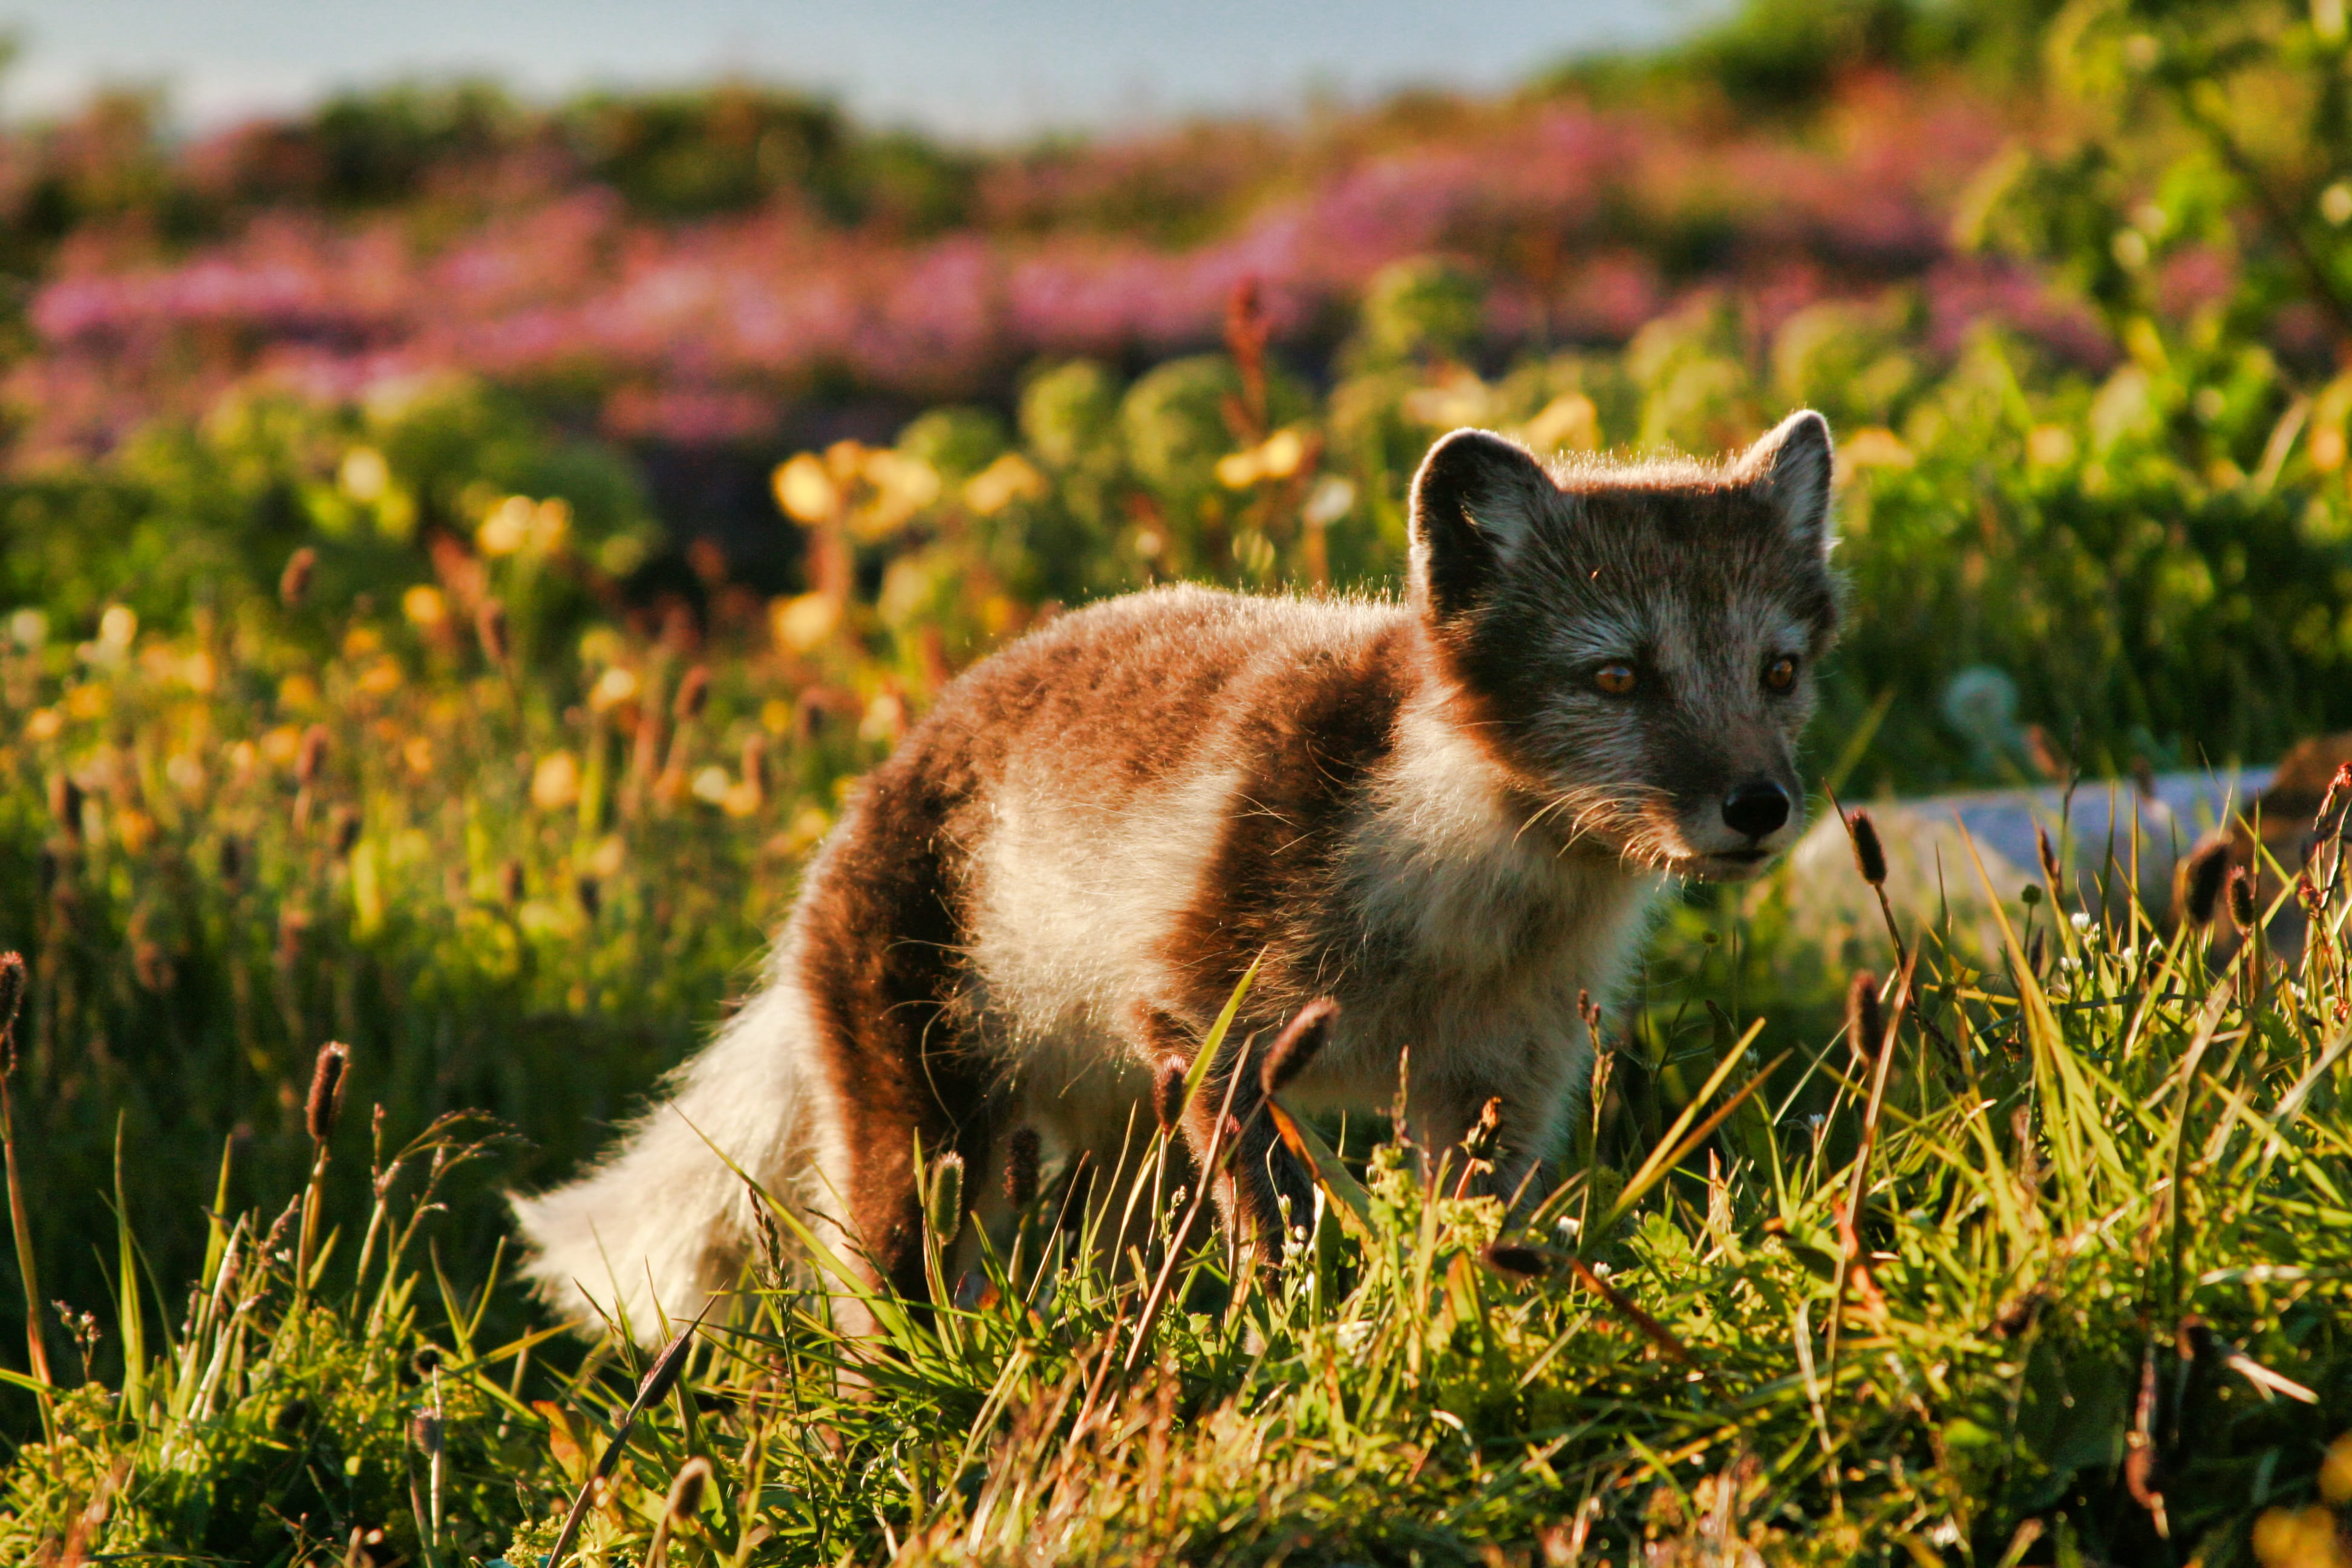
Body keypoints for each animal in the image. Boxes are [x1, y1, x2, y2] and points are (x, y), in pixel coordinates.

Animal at [512, 411, 1840, 1341]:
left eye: (1777, 672)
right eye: (1616, 677)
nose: (1759, 808)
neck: (1464, 907)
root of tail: (881, 778)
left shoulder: (1496, 1085)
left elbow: (1474, 1231)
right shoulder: (1210, 1021)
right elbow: (1277, 1223)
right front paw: (1286, 1324)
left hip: (1111, 1150)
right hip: (929, 1140)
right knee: (877, 1310)